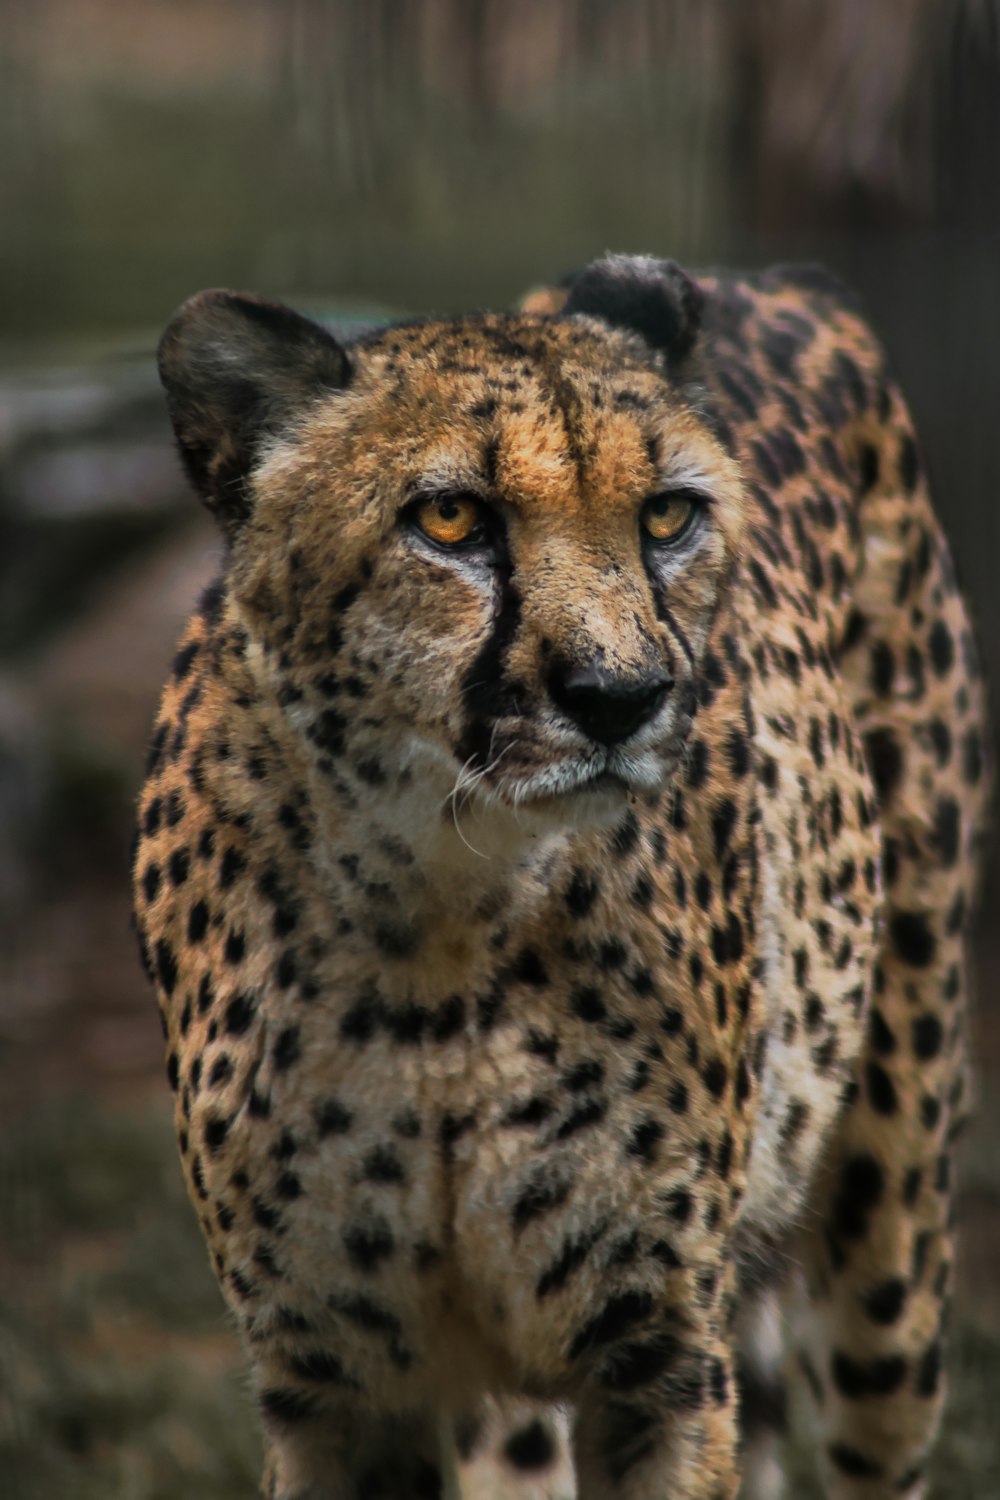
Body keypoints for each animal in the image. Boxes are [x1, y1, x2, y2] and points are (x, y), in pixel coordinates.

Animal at [134, 261, 995, 1500]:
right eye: (450, 518)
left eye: (667, 516)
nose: (620, 696)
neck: (438, 922)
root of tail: (771, 282)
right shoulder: (338, 1384)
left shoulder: (659, 1363)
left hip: (891, 1225)